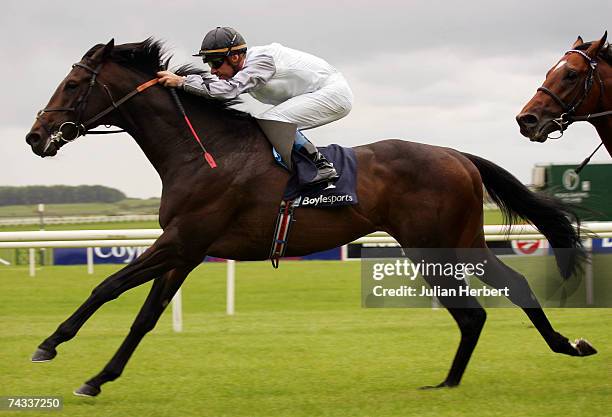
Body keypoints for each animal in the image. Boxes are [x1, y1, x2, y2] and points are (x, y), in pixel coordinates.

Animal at [23, 38, 592, 396]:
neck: (203, 152)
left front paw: (49, 345)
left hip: (441, 243)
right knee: (482, 307)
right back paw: (469, 376)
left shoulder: (182, 240)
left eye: (72, 85)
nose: (33, 136)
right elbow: (145, 316)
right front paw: (98, 378)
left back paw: (545, 352)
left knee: (493, 299)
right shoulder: (186, 249)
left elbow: (107, 287)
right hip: (444, 244)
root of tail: (457, 154)